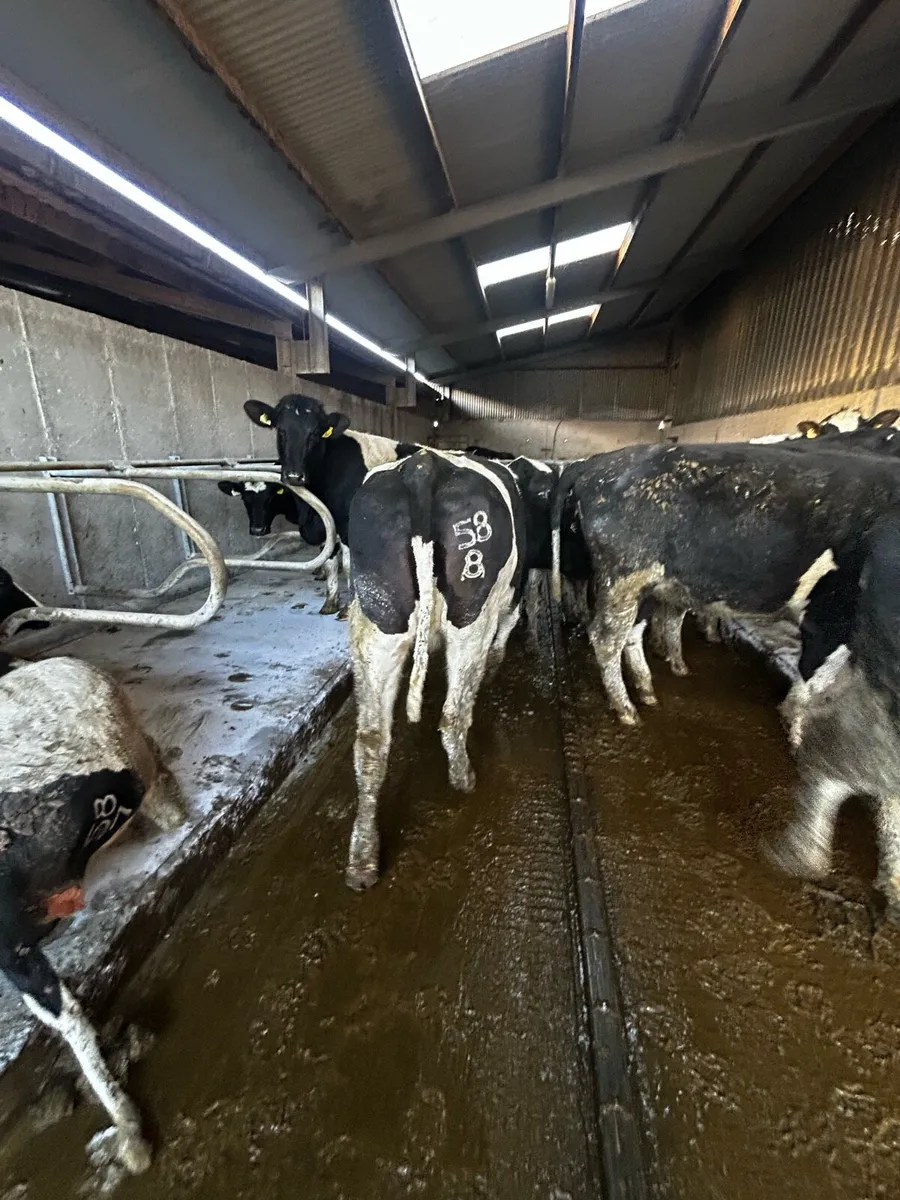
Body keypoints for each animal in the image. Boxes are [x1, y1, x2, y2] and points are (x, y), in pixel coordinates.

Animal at [243, 394, 419, 613]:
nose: (294, 476)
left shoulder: (348, 525)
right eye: (280, 430)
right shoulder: (328, 524)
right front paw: (331, 602)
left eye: (315, 434)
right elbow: (330, 561)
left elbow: (348, 566)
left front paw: (349, 609)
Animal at [345, 449, 525, 890]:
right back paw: (464, 780)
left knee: (371, 741)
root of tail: (423, 466)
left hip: (376, 619)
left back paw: (362, 860)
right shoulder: (511, 597)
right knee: (454, 713)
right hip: (471, 613)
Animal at [553, 442, 900, 724]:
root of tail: (597, 463)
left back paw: (647, 689)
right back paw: (626, 709)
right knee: (606, 638)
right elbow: (813, 678)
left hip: (645, 583)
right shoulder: (830, 612)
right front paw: (795, 727)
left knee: (632, 633)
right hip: (624, 577)